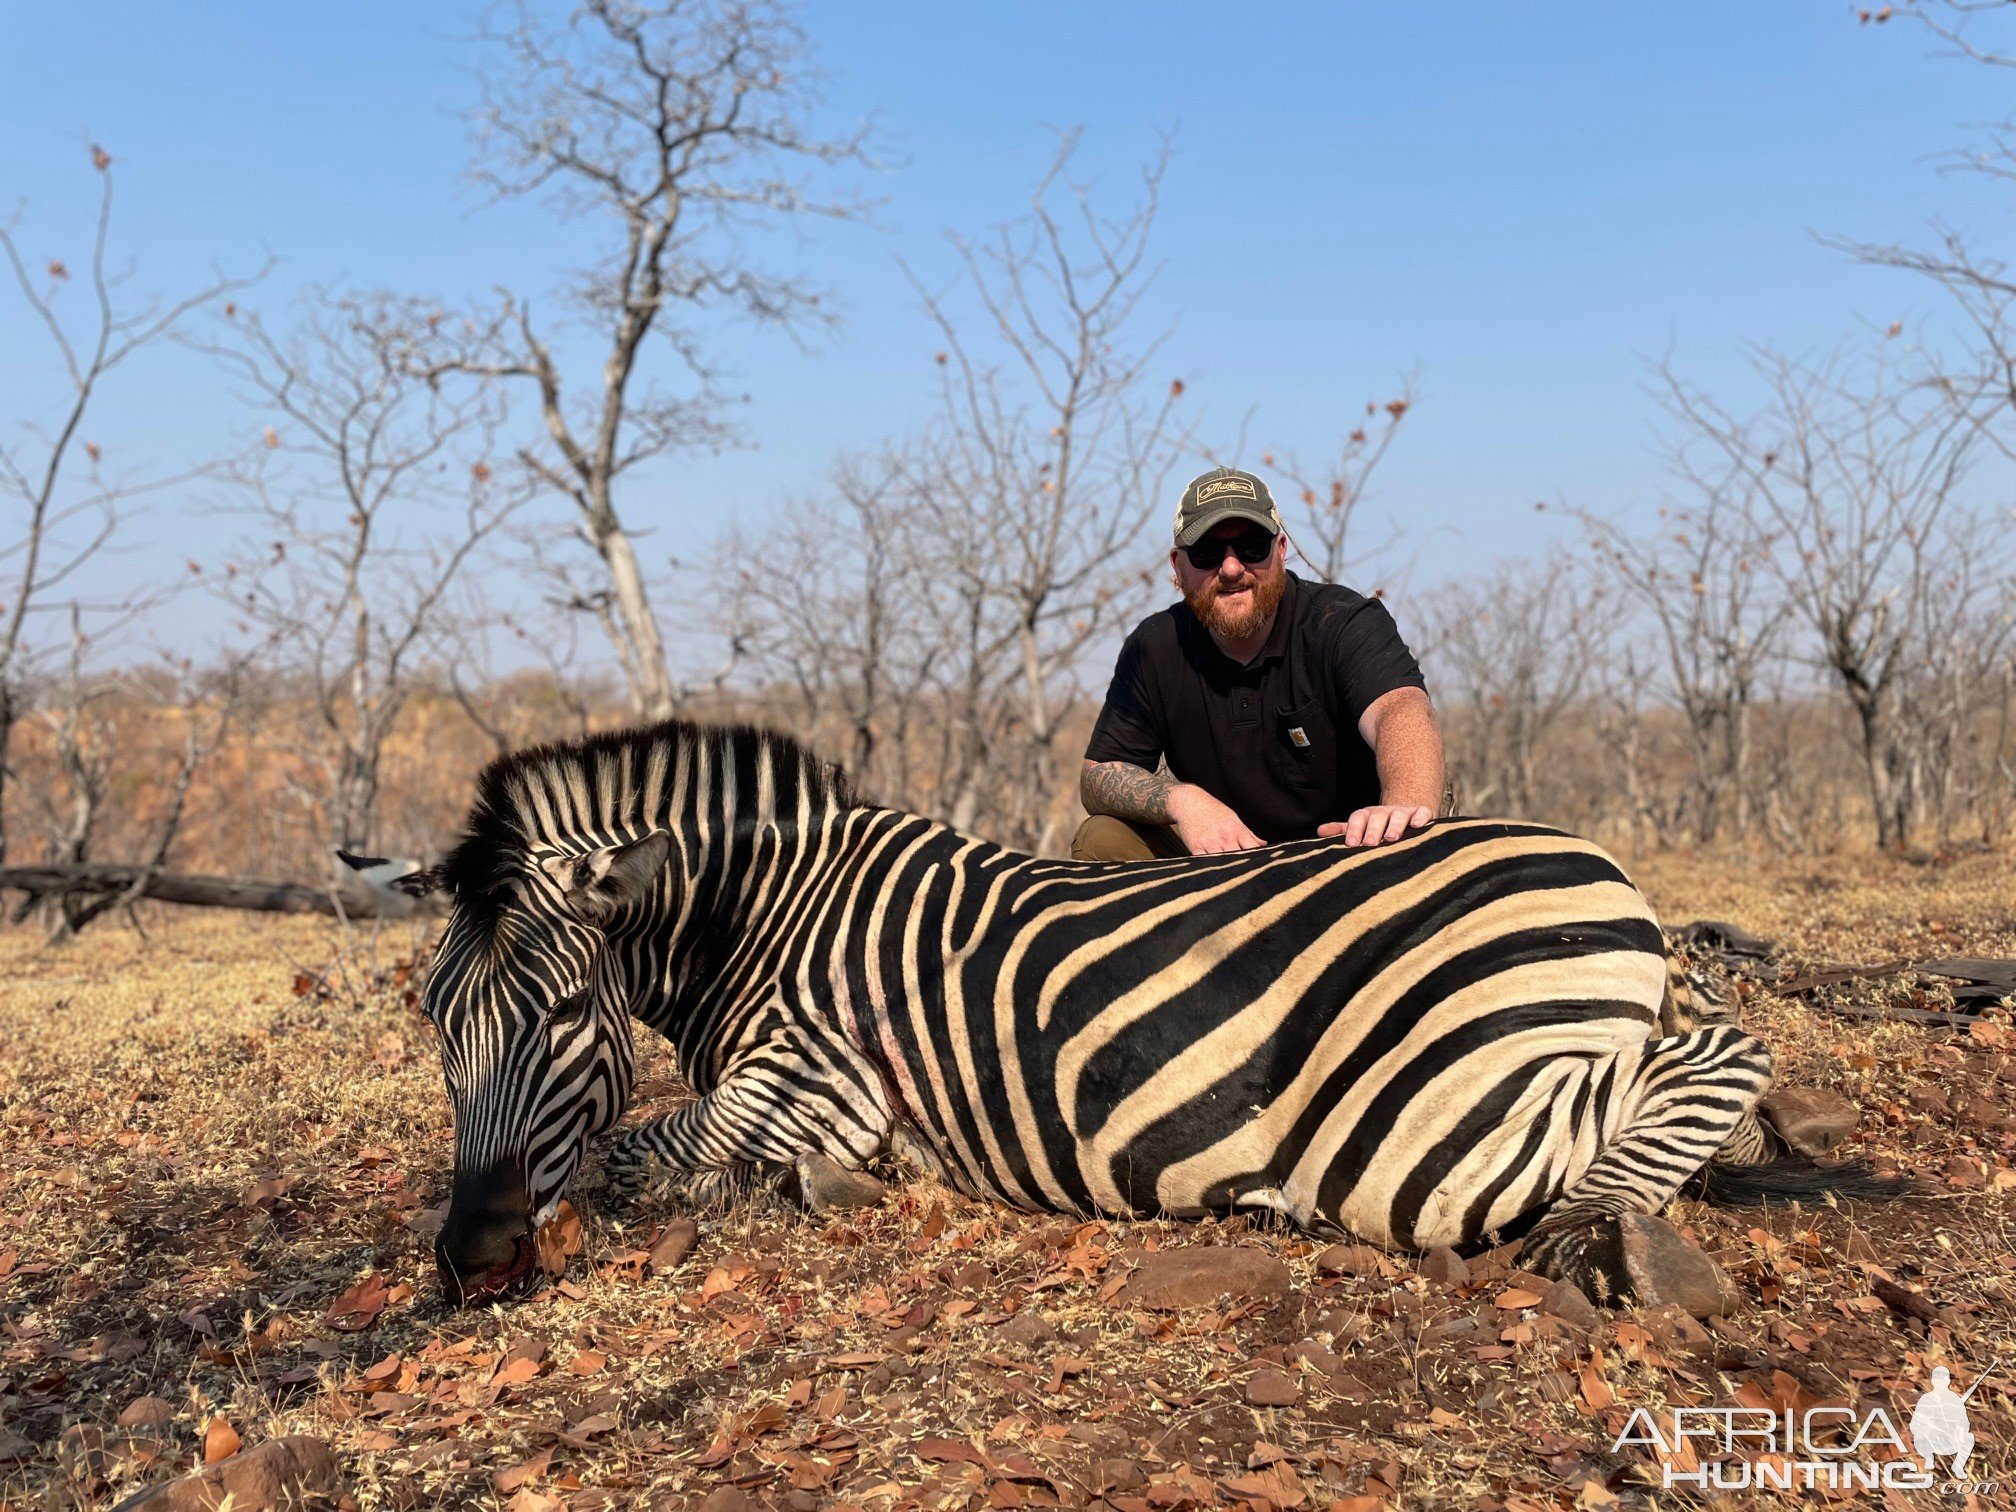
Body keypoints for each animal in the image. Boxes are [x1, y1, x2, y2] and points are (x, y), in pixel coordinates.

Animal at [366, 717, 1903, 1306]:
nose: (474, 1263)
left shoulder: (823, 1075)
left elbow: (643, 1153)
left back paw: (1606, 1234)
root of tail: (1607, 872)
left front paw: (813, 1187)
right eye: (438, 1026)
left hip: (1427, 1131)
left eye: (566, 1014)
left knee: (1713, 1057)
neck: (770, 913)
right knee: (1716, 1063)